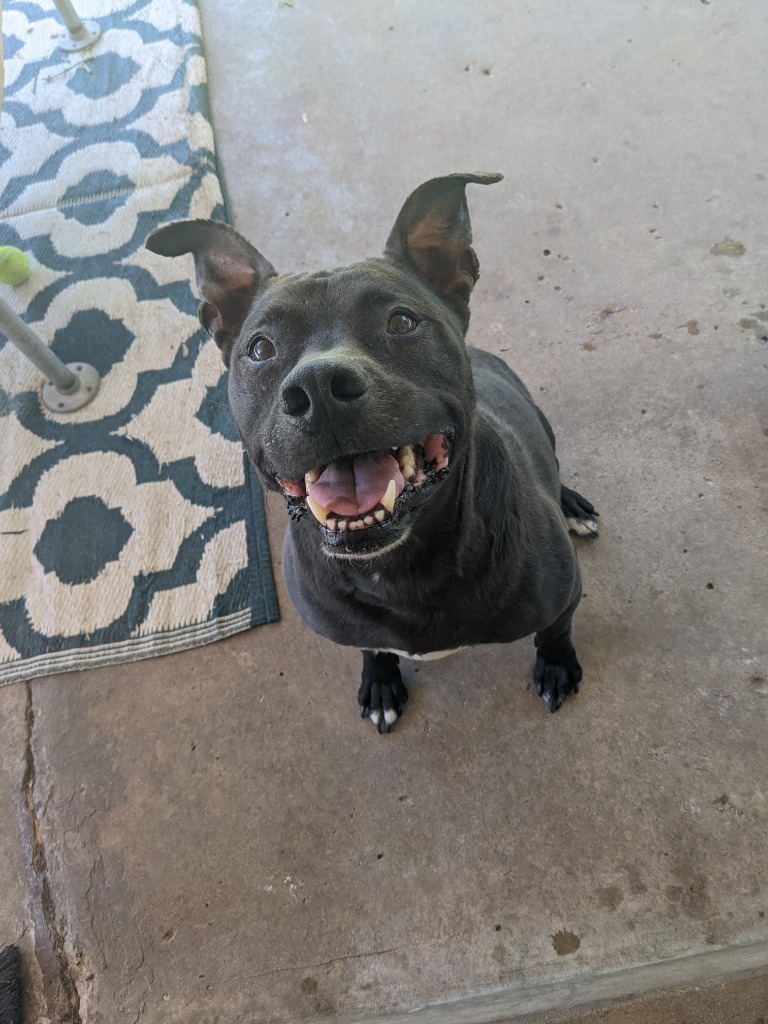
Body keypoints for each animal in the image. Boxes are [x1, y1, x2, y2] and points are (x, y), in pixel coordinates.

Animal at [147, 176, 598, 733]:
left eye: (401, 321)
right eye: (260, 349)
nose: (318, 388)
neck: (399, 568)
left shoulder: (564, 594)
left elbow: (555, 631)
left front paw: (556, 666)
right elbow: (370, 648)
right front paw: (380, 681)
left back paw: (572, 504)